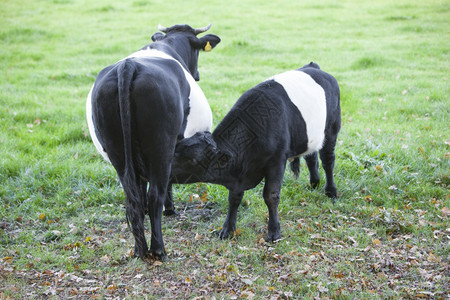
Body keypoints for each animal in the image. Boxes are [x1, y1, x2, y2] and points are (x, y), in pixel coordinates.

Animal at [85, 24, 221, 260]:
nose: (197, 75)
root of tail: (128, 66)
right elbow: (166, 184)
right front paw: (171, 210)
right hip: (160, 147)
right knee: (154, 194)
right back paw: (158, 250)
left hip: (118, 153)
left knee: (134, 199)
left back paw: (139, 250)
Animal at [172, 62, 342, 243]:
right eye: (177, 147)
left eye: (193, 160)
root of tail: (314, 67)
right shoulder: (237, 176)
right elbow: (234, 199)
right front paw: (227, 230)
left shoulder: (277, 161)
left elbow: (271, 195)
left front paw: (274, 232)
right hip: (310, 136)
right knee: (312, 157)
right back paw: (314, 183)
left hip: (332, 129)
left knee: (328, 161)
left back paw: (331, 192)